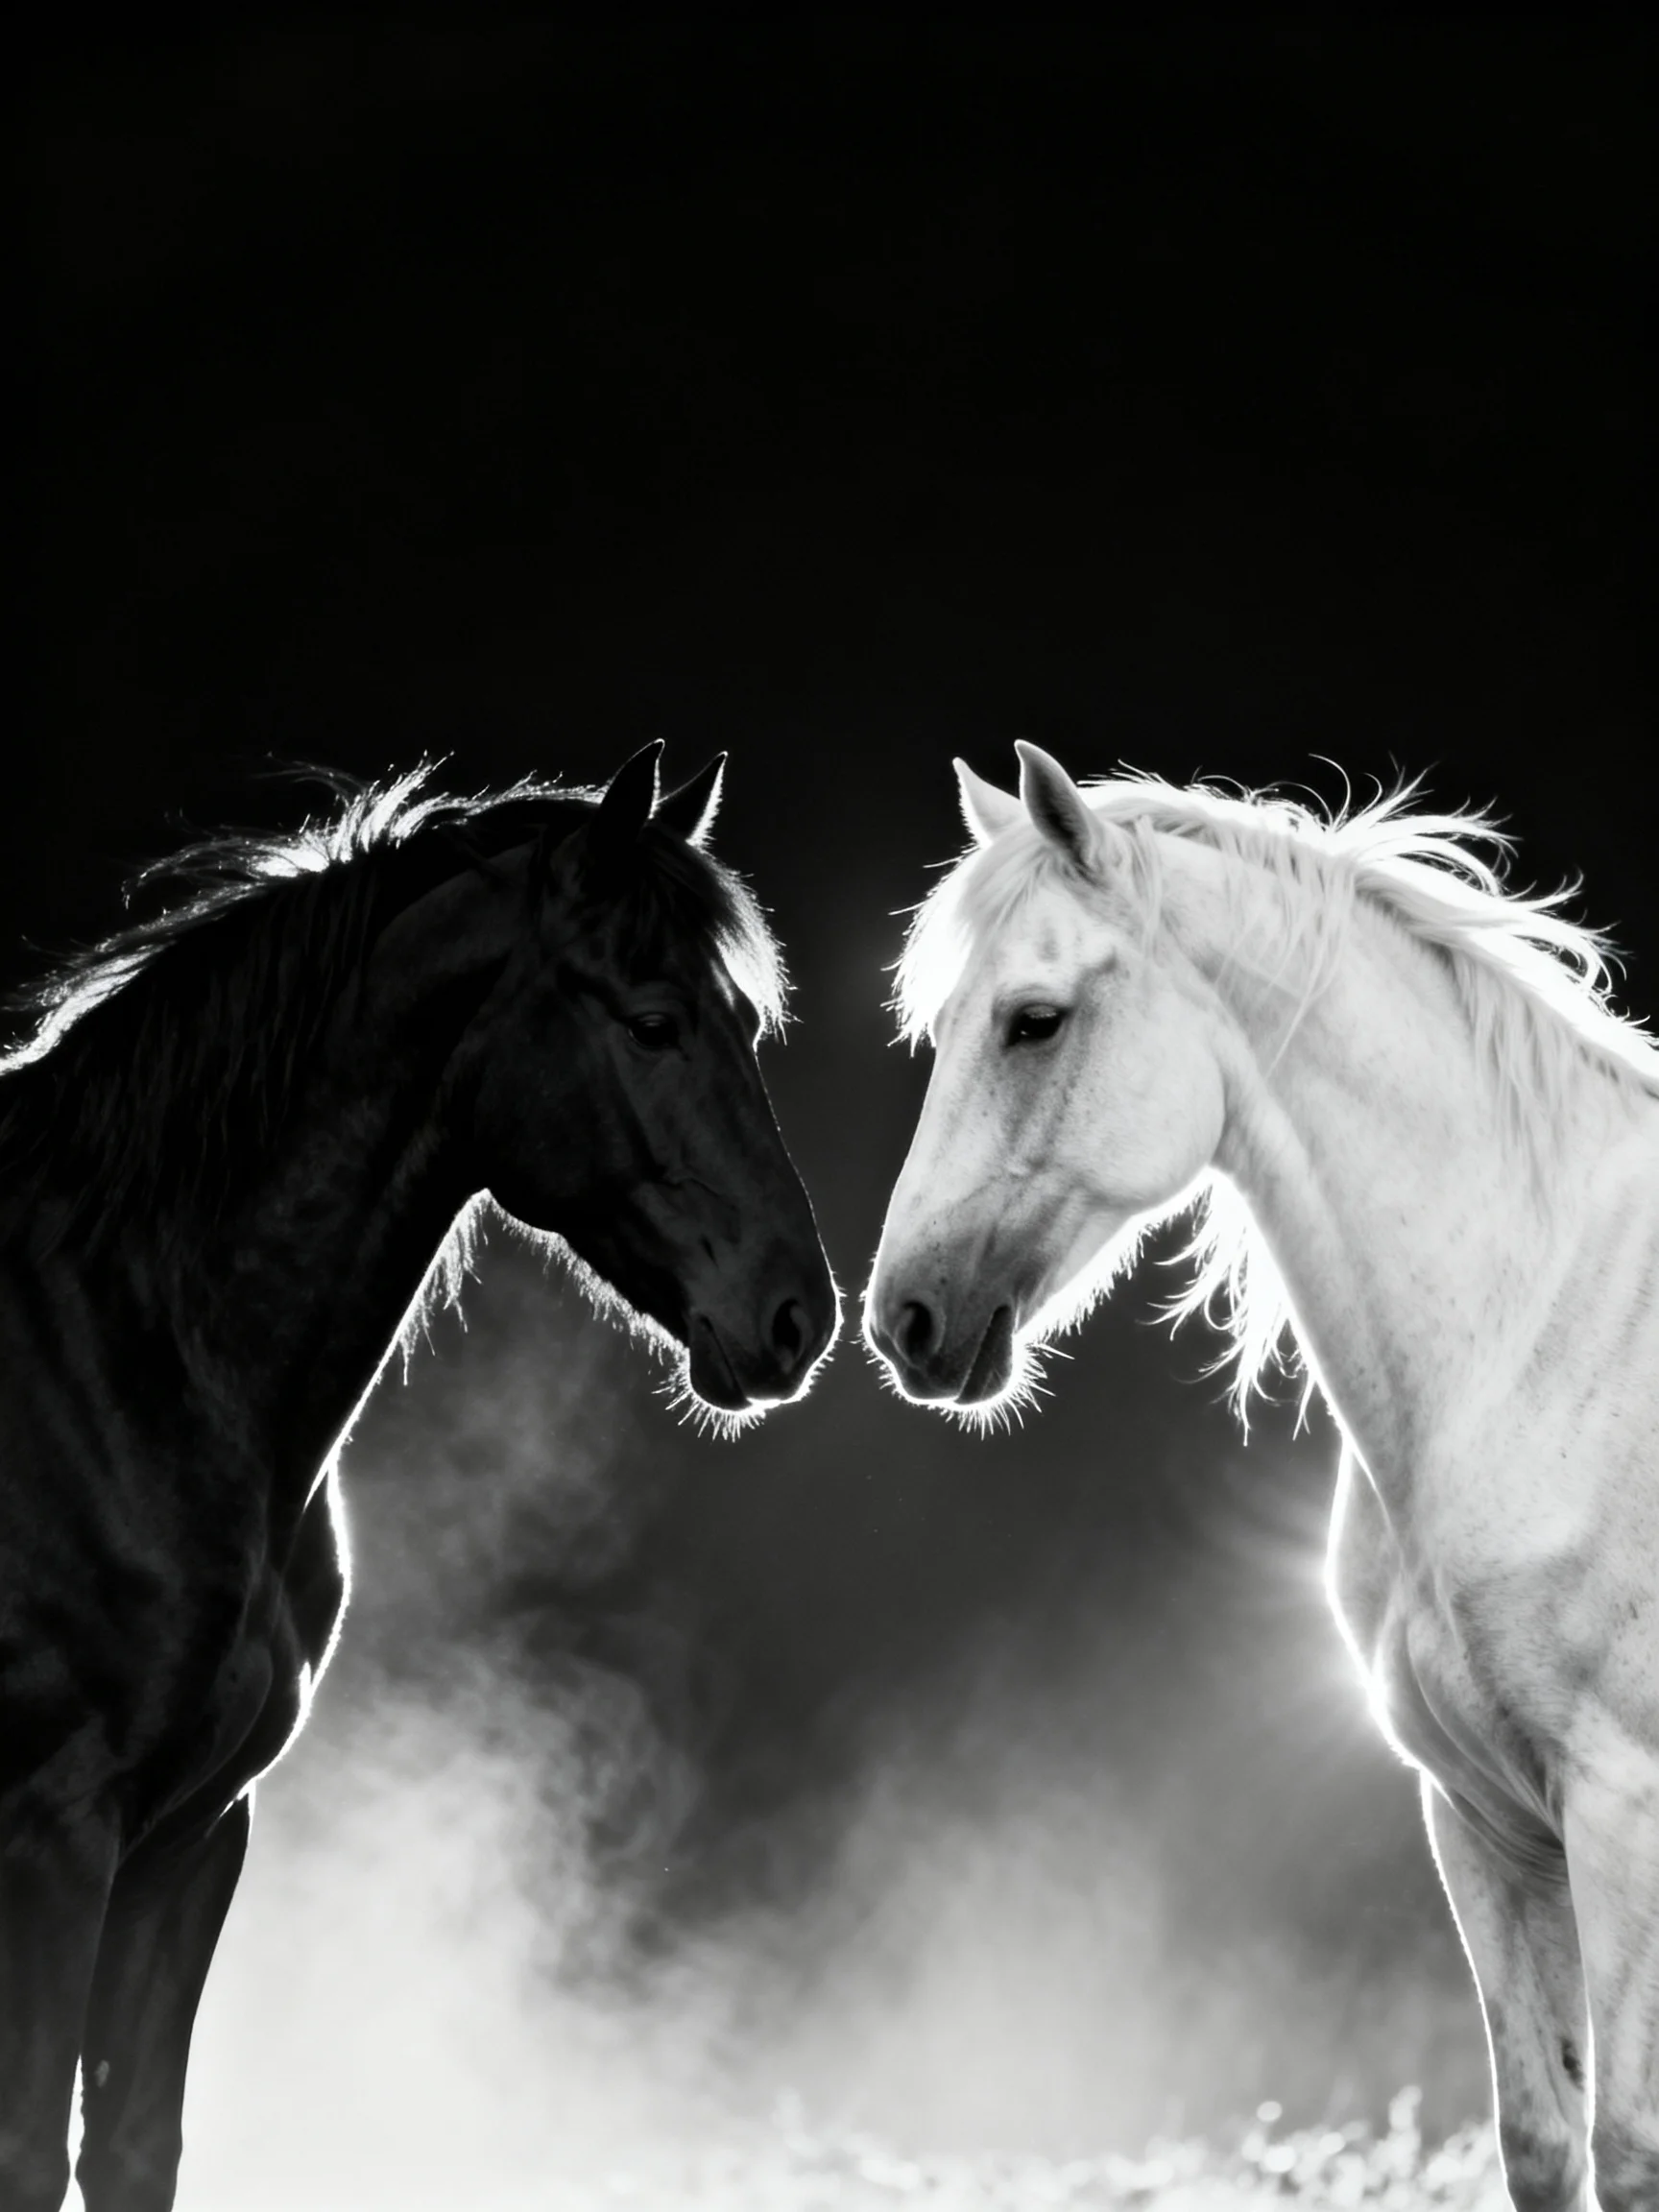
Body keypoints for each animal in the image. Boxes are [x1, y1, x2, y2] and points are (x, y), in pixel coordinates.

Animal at [0, 742, 838, 2212]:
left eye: (742, 1018)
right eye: (654, 1019)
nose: (800, 1313)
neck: (133, 1347)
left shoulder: (188, 1843)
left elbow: (132, 2145)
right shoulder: (53, 1834)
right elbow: (27, 2147)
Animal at [865, 741, 1659, 2212]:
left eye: (1034, 1022)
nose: (906, 1321)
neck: (1545, 1331)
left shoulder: (1621, 1814)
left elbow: (1631, 2151)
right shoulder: (1485, 1825)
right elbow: (1541, 2141)